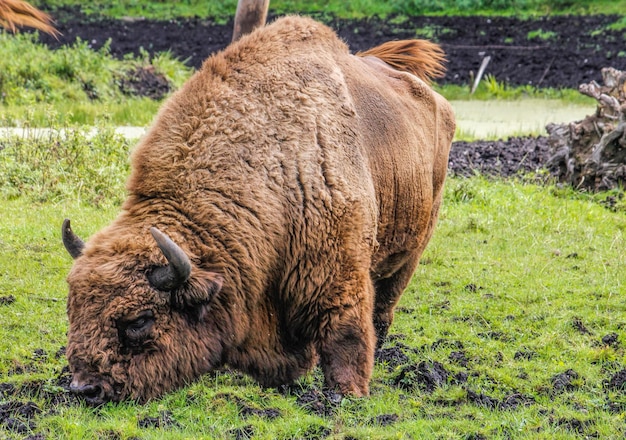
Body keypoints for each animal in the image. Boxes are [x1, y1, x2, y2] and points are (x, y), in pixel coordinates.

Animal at [62, 6, 454, 406]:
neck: (272, 162)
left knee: (383, 309)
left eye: (139, 320)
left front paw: (345, 395)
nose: (85, 388)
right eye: (73, 309)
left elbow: (345, 333)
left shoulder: (337, 272)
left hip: (409, 252)